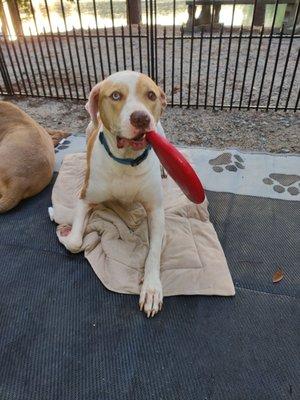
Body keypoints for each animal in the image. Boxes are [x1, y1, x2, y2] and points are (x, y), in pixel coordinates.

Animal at [57, 70, 168, 318]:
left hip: (162, 132)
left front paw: (152, 289)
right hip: (89, 128)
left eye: (151, 95)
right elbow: (75, 242)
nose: (141, 118)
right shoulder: (85, 197)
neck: (126, 161)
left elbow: (154, 252)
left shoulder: (156, 210)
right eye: (116, 95)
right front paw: (67, 233)